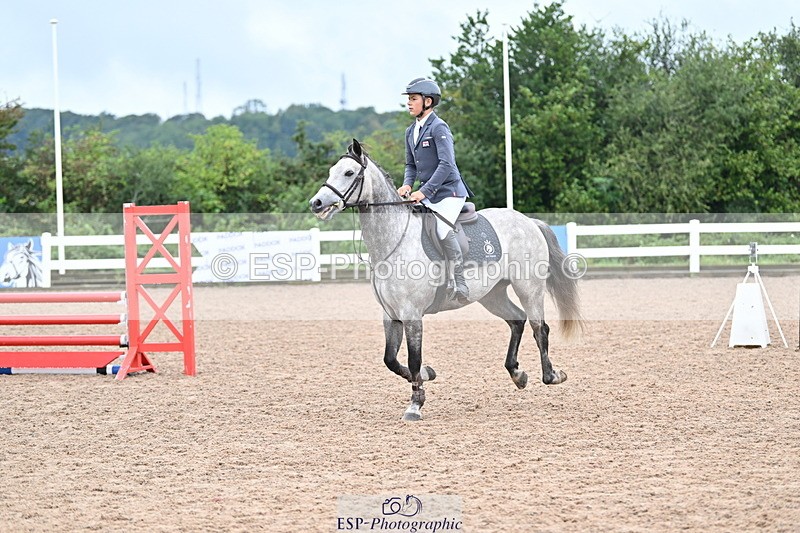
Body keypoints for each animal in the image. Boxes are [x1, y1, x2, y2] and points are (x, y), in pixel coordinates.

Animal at [309, 139, 584, 421]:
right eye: (332, 171)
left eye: (349, 173)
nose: (316, 203)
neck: (393, 243)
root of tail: (528, 221)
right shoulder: (391, 315)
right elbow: (391, 360)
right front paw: (427, 375)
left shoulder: (412, 315)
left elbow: (413, 359)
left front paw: (415, 405)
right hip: (492, 295)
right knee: (517, 320)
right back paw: (517, 374)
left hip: (528, 287)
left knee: (540, 328)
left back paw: (552, 375)